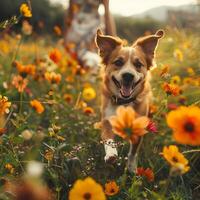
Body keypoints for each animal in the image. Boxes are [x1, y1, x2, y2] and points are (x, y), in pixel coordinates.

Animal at [95, 28, 164, 171]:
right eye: (118, 62)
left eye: (138, 64)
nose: (128, 75)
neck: (124, 102)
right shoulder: (107, 120)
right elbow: (108, 139)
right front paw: (111, 155)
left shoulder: (138, 128)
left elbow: (133, 152)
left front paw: (131, 168)